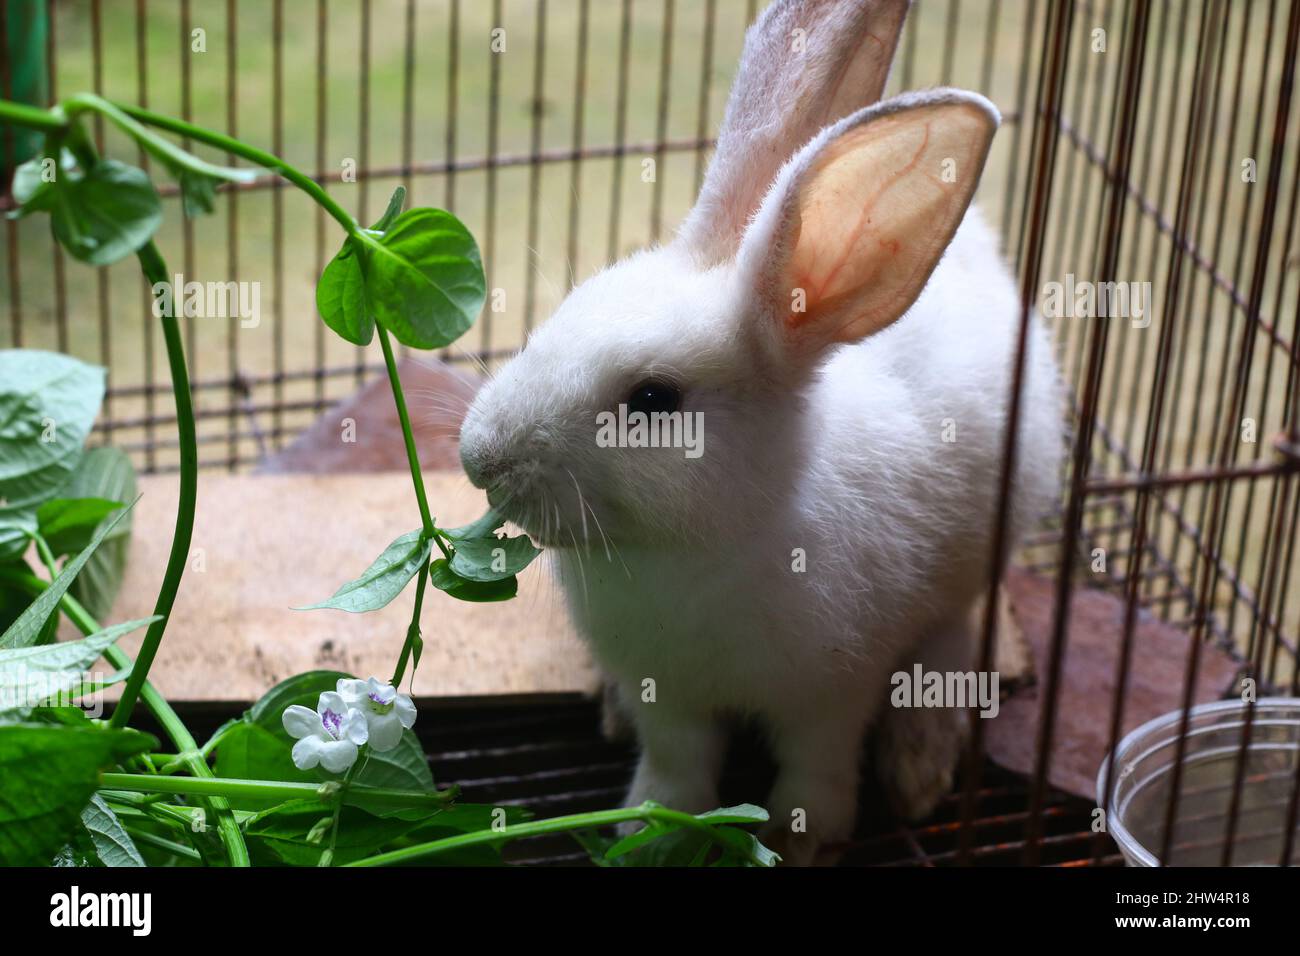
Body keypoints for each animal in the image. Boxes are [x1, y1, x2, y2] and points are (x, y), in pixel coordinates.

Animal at [462, 0, 1060, 868]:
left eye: (653, 399)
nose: (479, 458)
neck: (697, 548)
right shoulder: (667, 696)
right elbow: (677, 766)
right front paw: (646, 831)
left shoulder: (832, 689)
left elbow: (818, 761)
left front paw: (799, 837)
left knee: (950, 636)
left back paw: (919, 763)